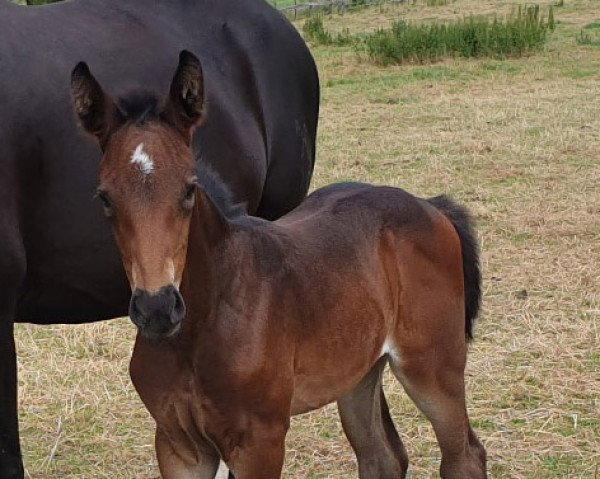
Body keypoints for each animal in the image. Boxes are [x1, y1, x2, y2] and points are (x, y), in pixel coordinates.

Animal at [71, 49, 488, 479]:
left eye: (189, 188)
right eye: (104, 197)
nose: (157, 308)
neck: (205, 323)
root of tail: (430, 205)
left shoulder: (260, 441)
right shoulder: (178, 445)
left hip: (432, 367)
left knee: (464, 456)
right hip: (358, 370)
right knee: (382, 456)